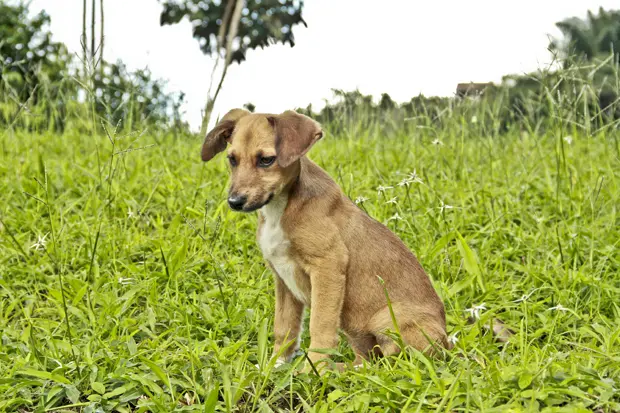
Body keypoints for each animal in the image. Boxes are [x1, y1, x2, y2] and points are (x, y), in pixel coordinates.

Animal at [203, 108, 450, 370]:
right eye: (232, 159)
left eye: (266, 160)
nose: (235, 202)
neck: (282, 208)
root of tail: (447, 346)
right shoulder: (283, 279)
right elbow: (284, 328)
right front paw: (275, 366)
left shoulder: (328, 266)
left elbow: (320, 327)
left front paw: (313, 369)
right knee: (368, 360)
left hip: (388, 317)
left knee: (392, 361)